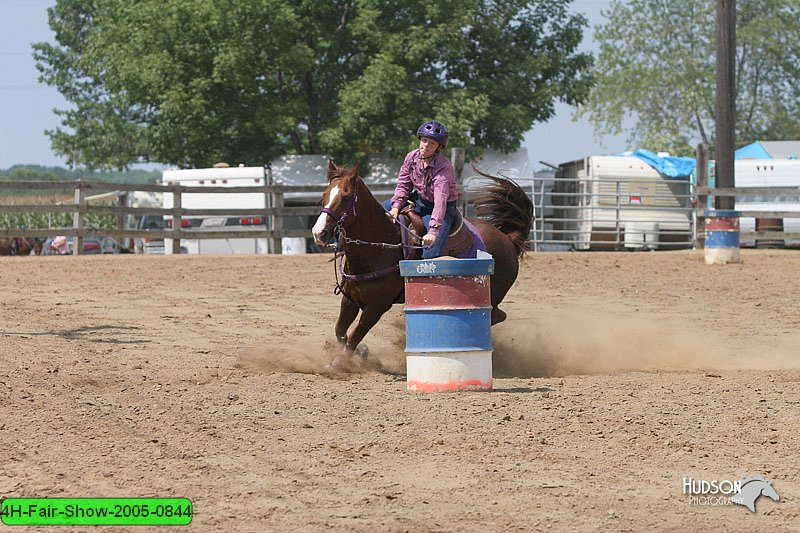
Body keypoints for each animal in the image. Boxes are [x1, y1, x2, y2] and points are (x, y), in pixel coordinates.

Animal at [310, 158, 532, 366]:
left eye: (346, 198)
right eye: (324, 195)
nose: (319, 233)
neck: (381, 245)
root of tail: (508, 239)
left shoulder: (377, 307)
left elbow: (355, 336)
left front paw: (339, 363)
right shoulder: (350, 299)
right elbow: (340, 332)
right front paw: (363, 352)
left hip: (493, 294)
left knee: (496, 315)